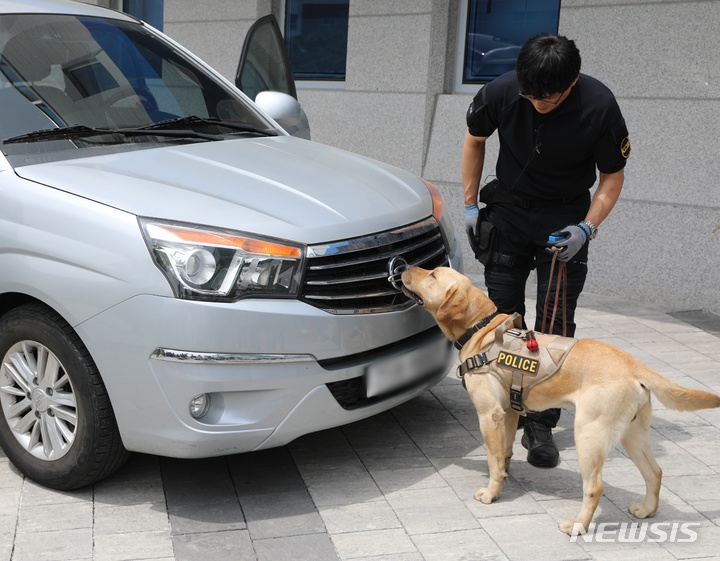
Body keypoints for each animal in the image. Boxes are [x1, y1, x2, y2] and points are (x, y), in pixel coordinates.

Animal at [400, 264, 720, 536]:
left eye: (432, 275)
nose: (403, 267)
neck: (482, 331)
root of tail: (633, 364)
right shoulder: (509, 412)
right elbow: (504, 453)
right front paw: (503, 477)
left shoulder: (489, 415)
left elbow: (492, 458)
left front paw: (491, 493)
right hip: (632, 434)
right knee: (655, 472)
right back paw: (647, 510)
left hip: (589, 435)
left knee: (595, 487)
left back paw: (578, 525)